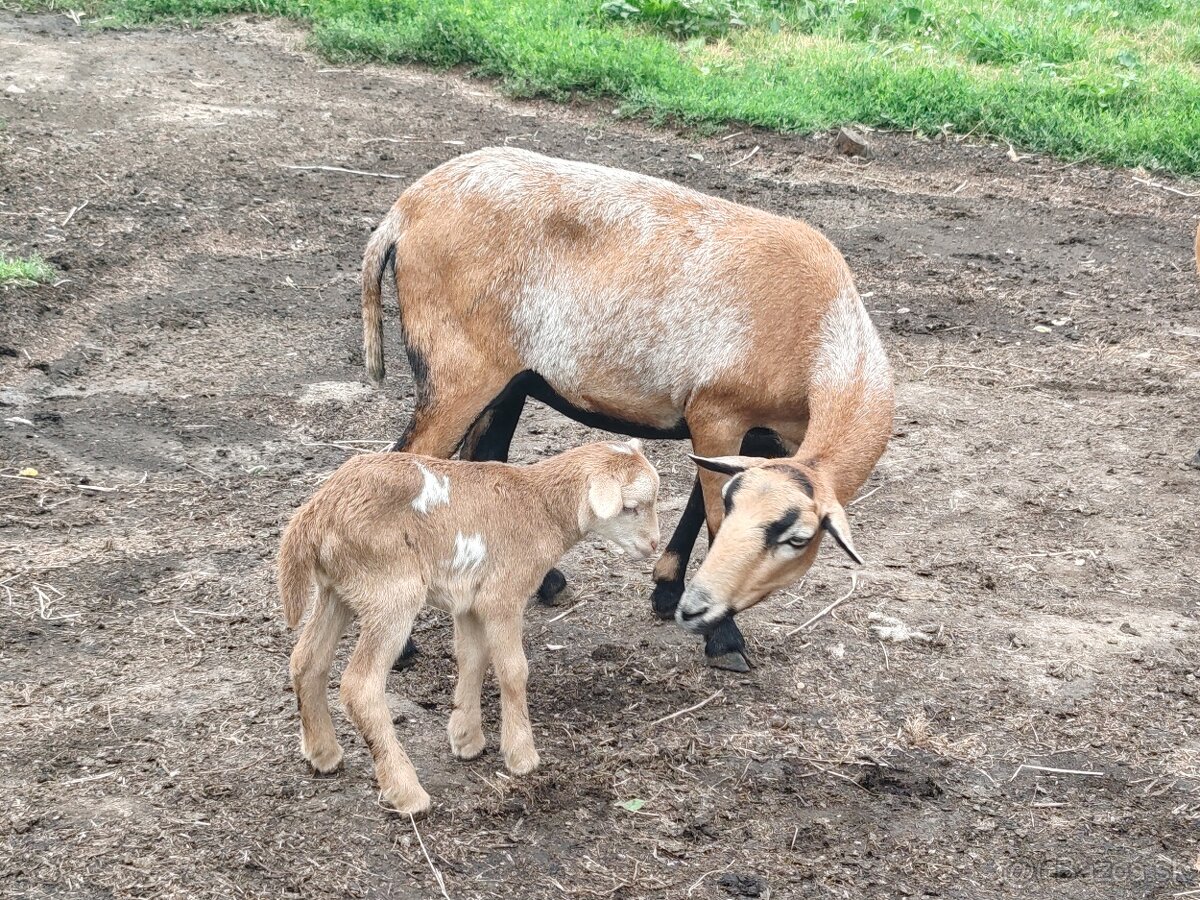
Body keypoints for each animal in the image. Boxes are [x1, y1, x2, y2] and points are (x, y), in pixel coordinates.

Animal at [277, 439, 662, 816]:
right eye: (631, 507)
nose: (654, 544)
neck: (540, 507)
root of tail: (316, 514)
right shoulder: (502, 596)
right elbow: (513, 671)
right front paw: (522, 756)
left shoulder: (469, 601)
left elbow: (472, 658)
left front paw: (467, 739)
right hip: (390, 590)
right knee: (360, 686)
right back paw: (407, 793)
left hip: (337, 588)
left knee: (306, 661)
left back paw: (323, 755)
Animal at [355, 148, 892, 672]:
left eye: (797, 539)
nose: (700, 607)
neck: (819, 330)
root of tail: (404, 213)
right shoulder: (718, 411)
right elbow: (713, 516)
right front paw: (724, 640)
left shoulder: (760, 436)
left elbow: (698, 501)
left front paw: (668, 590)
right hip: (457, 370)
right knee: (407, 458)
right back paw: (402, 646)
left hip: (508, 380)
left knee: (485, 459)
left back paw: (544, 581)